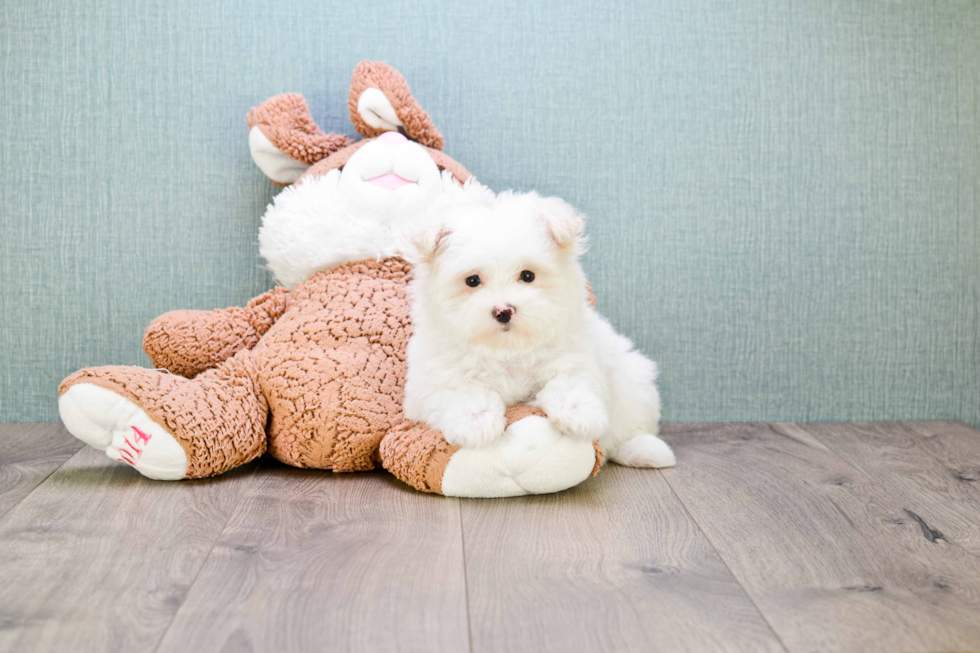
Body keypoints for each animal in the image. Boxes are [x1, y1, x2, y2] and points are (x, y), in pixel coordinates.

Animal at [404, 190, 672, 468]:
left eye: (528, 276)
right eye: (472, 281)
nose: (504, 310)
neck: (507, 348)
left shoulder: (573, 355)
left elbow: (568, 381)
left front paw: (578, 413)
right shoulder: (431, 382)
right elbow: (461, 391)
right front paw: (476, 422)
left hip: (634, 380)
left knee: (628, 429)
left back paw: (644, 450)